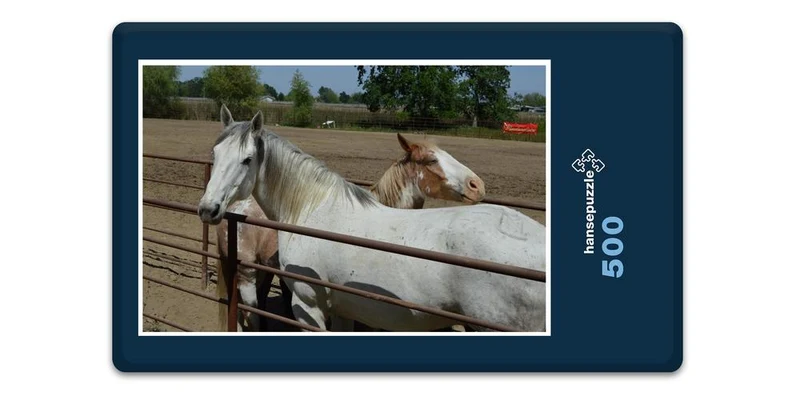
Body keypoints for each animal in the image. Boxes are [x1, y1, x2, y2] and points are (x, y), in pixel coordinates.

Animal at [200, 106, 545, 332]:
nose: (208, 208)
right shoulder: (343, 308)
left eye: (247, 160)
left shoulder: (309, 306)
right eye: (214, 155)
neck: (313, 209)